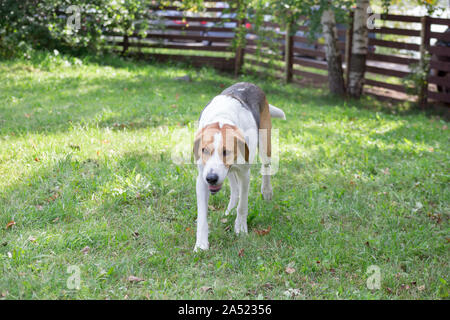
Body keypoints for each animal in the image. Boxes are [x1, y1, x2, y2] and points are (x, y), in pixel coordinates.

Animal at [192, 82, 284, 250]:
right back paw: (229, 209)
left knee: (266, 168)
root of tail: (250, 84)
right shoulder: (201, 179)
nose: (212, 178)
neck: (222, 118)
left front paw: (240, 227)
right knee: (234, 189)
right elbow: (202, 216)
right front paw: (201, 244)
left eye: (226, 151)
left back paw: (266, 191)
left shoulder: (244, 174)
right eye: (204, 150)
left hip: (265, 143)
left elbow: (243, 205)